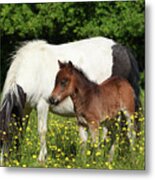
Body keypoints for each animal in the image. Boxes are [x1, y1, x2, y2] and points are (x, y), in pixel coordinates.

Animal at [0, 36, 139, 165]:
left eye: (7, 134)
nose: (3, 161)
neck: (33, 69)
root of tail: (122, 49)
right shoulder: (25, 108)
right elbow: (21, 129)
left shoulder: (43, 105)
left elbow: (42, 131)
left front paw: (41, 159)